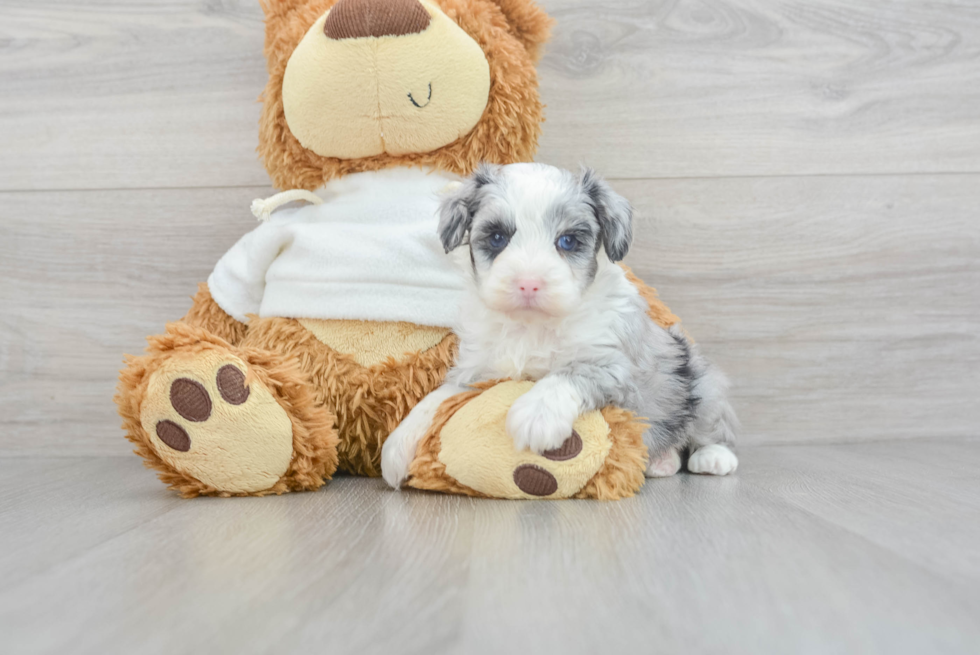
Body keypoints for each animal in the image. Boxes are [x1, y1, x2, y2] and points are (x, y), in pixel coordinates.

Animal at [380, 163, 736, 492]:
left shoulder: (615, 368)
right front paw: (397, 445)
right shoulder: (477, 372)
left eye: (567, 241)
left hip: (704, 387)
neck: (532, 327)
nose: (528, 284)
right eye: (497, 237)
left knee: (711, 428)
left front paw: (536, 414)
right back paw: (662, 462)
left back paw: (713, 457)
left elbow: (567, 375)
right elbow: (436, 398)